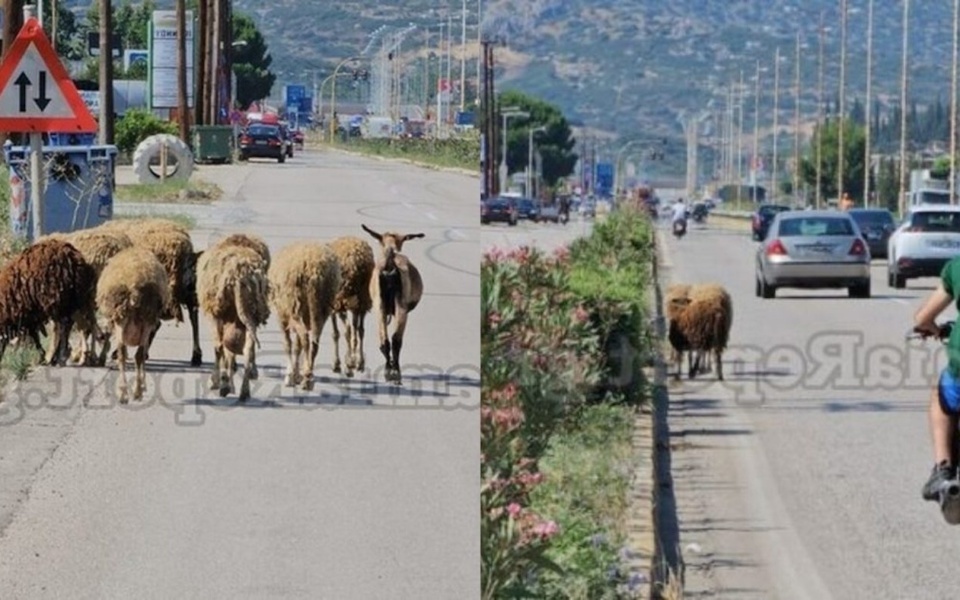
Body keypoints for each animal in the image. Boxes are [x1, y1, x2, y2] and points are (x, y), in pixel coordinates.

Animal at [96, 246, 170, 406]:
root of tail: (134, 284)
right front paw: (142, 385)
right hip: (145, 319)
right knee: (138, 355)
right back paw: (135, 391)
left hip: (123, 319)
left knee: (124, 355)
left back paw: (125, 392)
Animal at [196, 238, 268, 398]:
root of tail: (240, 276)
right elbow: (231, 351)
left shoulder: (217, 317)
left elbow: (222, 349)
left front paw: (218, 382)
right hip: (251, 312)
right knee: (247, 348)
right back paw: (244, 391)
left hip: (220, 313)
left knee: (220, 346)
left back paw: (224, 385)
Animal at [268, 241, 344, 392]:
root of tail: (314, 270)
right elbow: (297, 346)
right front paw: (297, 374)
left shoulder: (282, 315)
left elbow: (288, 344)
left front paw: (290, 376)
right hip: (321, 306)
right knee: (314, 342)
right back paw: (308, 376)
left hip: (294, 304)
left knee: (305, 338)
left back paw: (307, 378)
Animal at [330, 234, 376, 376]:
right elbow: (357, 332)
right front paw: (356, 361)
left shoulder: (333, 306)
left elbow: (336, 334)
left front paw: (337, 364)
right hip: (363, 298)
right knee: (360, 330)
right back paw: (359, 363)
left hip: (341, 299)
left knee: (348, 330)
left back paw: (349, 366)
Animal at [360, 225, 424, 384]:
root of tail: (390, 265)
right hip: (400, 307)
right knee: (396, 340)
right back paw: (395, 372)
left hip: (380, 307)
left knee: (384, 341)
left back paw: (388, 371)